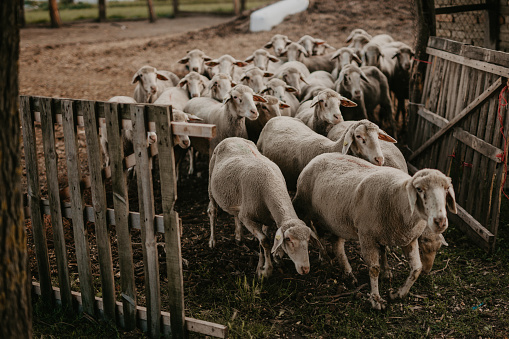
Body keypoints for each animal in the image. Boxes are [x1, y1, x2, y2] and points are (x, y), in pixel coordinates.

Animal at [206, 137, 318, 278]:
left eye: (308, 240)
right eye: (288, 239)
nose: (305, 269)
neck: (271, 184)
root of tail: (232, 138)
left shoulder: (267, 218)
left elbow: (262, 242)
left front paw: (260, 267)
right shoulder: (247, 218)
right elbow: (265, 241)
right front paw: (267, 270)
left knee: (236, 215)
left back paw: (239, 238)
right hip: (211, 183)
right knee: (213, 211)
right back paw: (212, 241)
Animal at [292, 155, 458, 310]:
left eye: (446, 188)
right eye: (419, 189)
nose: (440, 221)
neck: (398, 202)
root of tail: (319, 156)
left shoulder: (408, 239)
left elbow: (416, 268)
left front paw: (397, 293)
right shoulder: (367, 236)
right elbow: (373, 269)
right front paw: (376, 299)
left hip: (337, 219)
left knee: (336, 244)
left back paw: (347, 272)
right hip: (305, 209)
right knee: (315, 234)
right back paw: (325, 258)